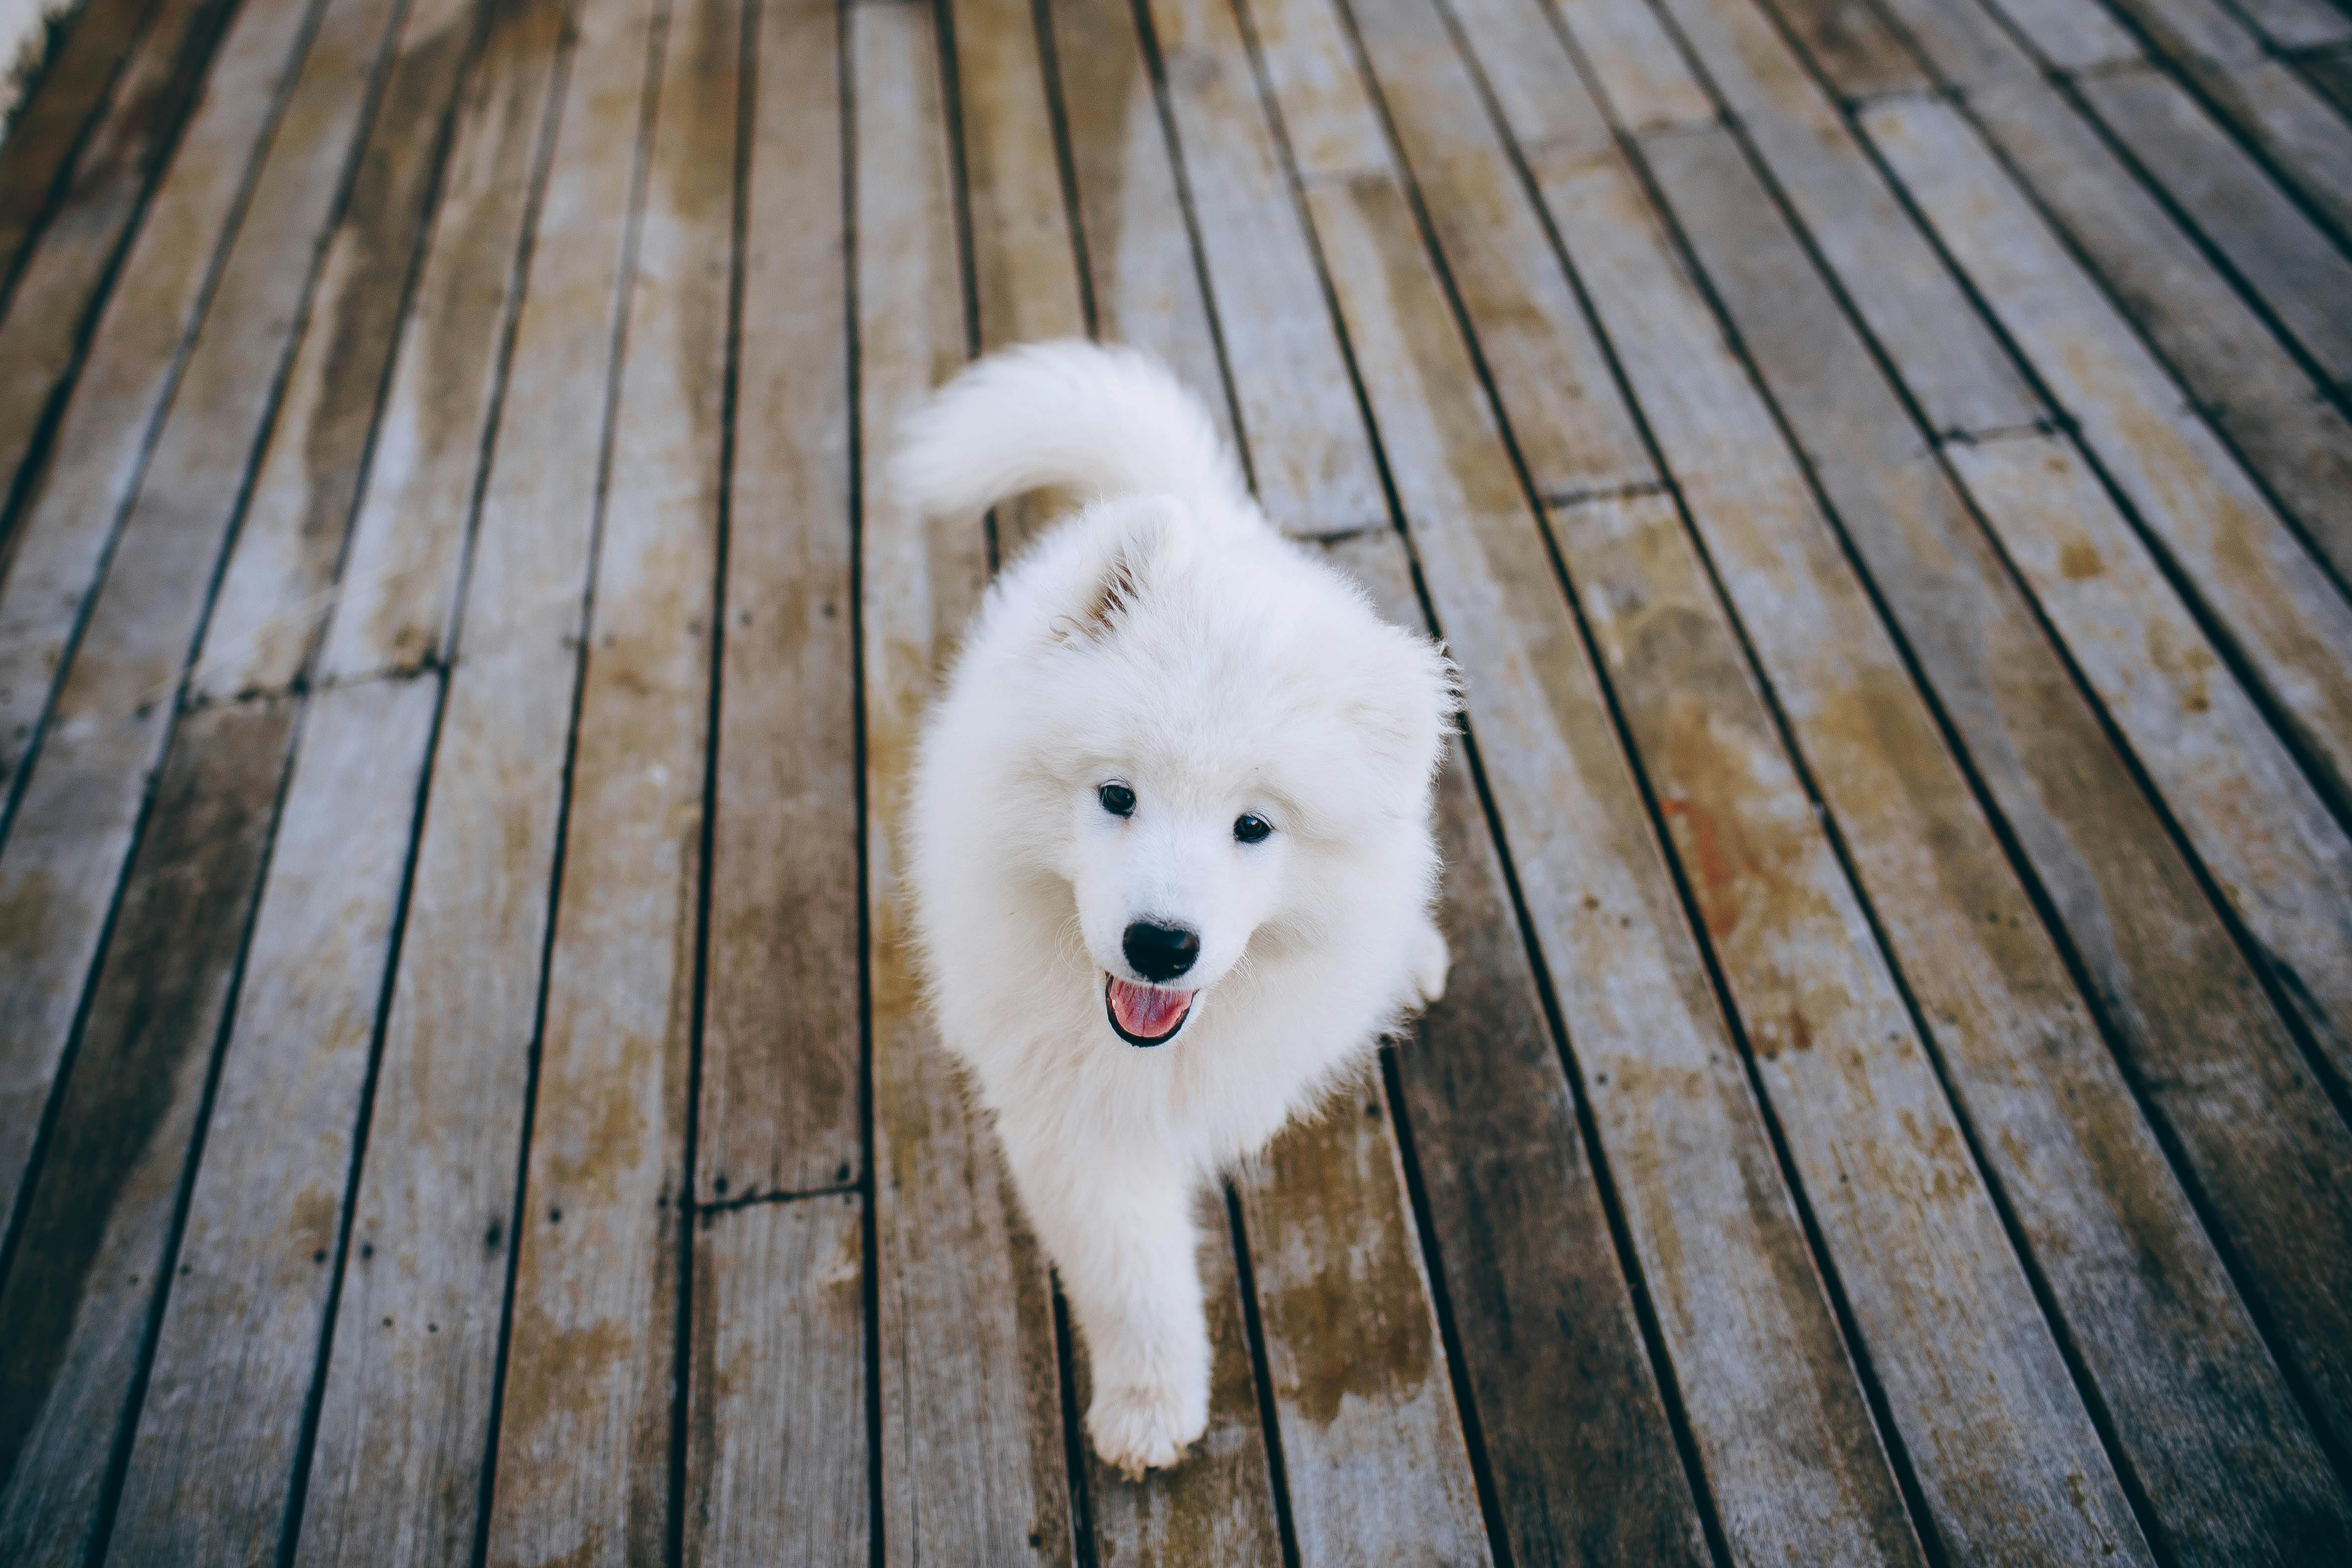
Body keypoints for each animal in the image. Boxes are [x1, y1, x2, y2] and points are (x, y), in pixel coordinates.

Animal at [893, 341, 1449, 1476]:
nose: (1158, 943)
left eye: (1254, 826)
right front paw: (1149, 1408)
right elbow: (1129, 1276)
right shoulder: (1073, 1117)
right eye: (1117, 795)